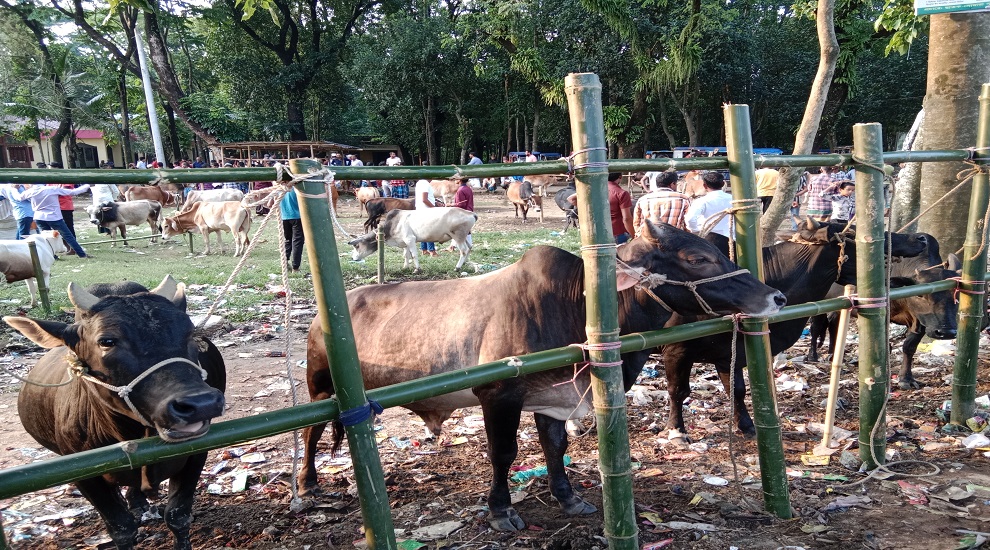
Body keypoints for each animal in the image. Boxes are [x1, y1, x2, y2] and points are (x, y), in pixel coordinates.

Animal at [4, 280, 225, 550]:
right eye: (107, 341)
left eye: (191, 333)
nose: (201, 403)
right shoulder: (85, 477)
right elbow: (121, 528)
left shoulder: (197, 455)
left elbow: (178, 515)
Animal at [298, 222, 788, 532]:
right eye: (697, 257)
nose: (776, 296)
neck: (575, 304)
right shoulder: (499, 396)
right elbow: (503, 454)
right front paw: (500, 511)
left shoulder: (554, 398)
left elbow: (555, 448)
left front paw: (568, 496)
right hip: (320, 387)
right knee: (310, 432)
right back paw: (305, 485)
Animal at [348, 208, 476, 272]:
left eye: (357, 245)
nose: (353, 258)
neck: (393, 224)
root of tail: (471, 214)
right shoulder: (405, 243)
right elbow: (406, 255)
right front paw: (405, 267)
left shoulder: (410, 239)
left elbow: (414, 255)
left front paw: (417, 269)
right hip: (464, 236)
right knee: (469, 247)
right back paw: (465, 263)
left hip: (458, 236)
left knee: (463, 250)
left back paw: (457, 267)